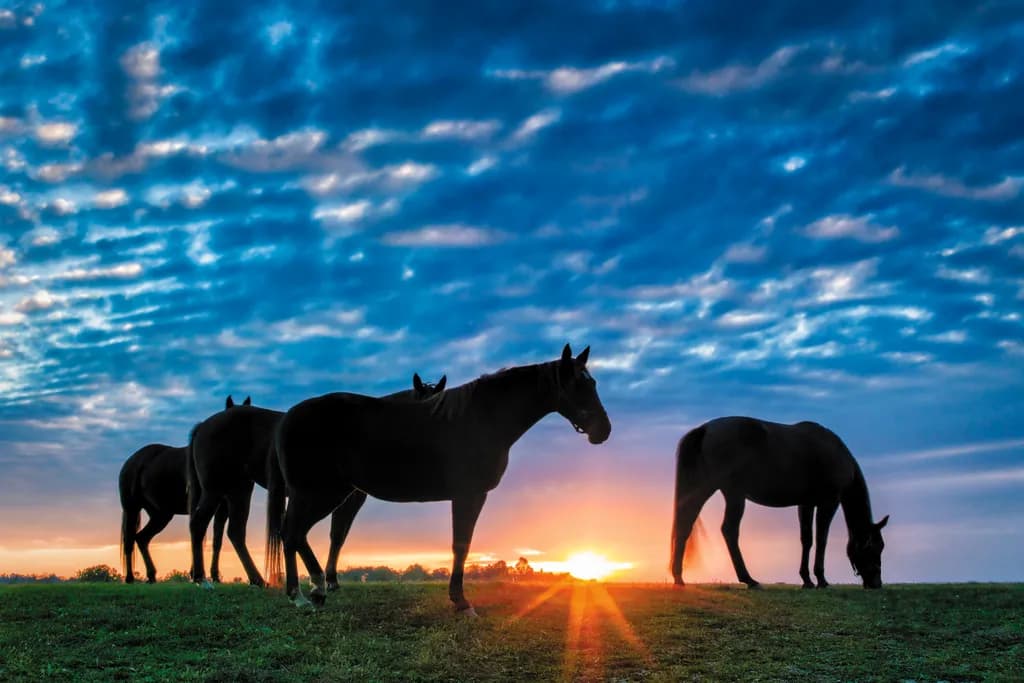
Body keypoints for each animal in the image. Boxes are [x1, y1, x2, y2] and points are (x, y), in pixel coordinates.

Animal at [118, 395, 248, 583]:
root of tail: (132, 461)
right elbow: (201, 535)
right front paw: (197, 574)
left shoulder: (222, 507)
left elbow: (216, 540)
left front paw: (213, 575)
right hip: (132, 509)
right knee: (129, 541)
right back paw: (129, 578)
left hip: (161, 514)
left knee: (141, 538)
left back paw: (151, 576)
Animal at [187, 375, 446, 587]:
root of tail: (204, 425)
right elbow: (333, 534)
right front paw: (327, 578)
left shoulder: (348, 499)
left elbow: (338, 535)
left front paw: (330, 578)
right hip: (217, 489)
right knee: (200, 523)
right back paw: (202, 578)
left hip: (238, 489)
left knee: (234, 532)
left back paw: (255, 579)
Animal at [267, 344, 612, 612]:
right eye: (578, 385)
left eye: (593, 382)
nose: (603, 430)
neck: (482, 418)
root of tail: (288, 417)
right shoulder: (469, 495)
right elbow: (461, 545)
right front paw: (461, 602)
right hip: (318, 493)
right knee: (293, 533)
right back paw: (309, 592)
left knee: (293, 534)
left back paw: (307, 592)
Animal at [669, 416, 889, 590]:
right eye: (876, 547)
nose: (876, 583)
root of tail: (705, 429)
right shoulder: (829, 502)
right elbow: (821, 539)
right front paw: (821, 579)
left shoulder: (806, 504)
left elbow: (807, 539)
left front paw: (807, 580)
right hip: (733, 494)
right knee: (729, 531)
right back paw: (749, 579)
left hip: (706, 489)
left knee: (685, 524)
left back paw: (679, 577)